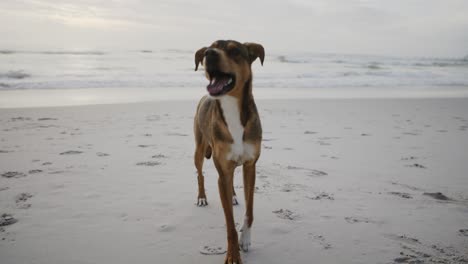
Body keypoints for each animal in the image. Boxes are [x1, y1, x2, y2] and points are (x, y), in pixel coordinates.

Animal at [194, 40, 266, 262]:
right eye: (209, 47)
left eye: (234, 51)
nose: (208, 53)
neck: (231, 106)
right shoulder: (222, 174)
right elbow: (229, 225)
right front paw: (233, 255)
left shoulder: (250, 166)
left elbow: (249, 210)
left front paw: (246, 239)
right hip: (198, 149)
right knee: (199, 173)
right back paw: (201, 197)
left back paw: (233, 196)